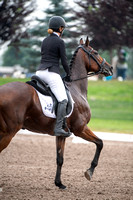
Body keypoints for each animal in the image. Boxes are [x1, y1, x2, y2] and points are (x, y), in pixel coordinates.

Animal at [0, 37, 112, 189]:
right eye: (96, 52)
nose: (110, 68)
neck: (76, 88)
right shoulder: (80, 129)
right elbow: (100, 143)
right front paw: (89, 172)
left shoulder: (61, 134)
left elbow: (60, 159)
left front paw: (59, 183)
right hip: (9, 132)